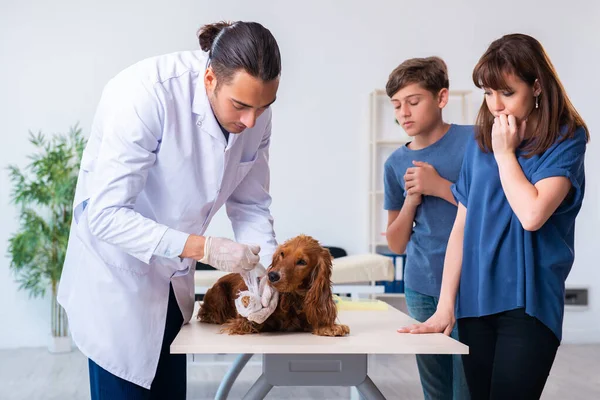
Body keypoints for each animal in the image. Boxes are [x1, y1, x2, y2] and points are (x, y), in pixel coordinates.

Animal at [197, 236, 350, 336]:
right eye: (282, 254)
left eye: (302, 261)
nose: (272, 275)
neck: (294, 298)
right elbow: (247, 321)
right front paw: (248, 301)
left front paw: (329, 327)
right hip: (218, 293)